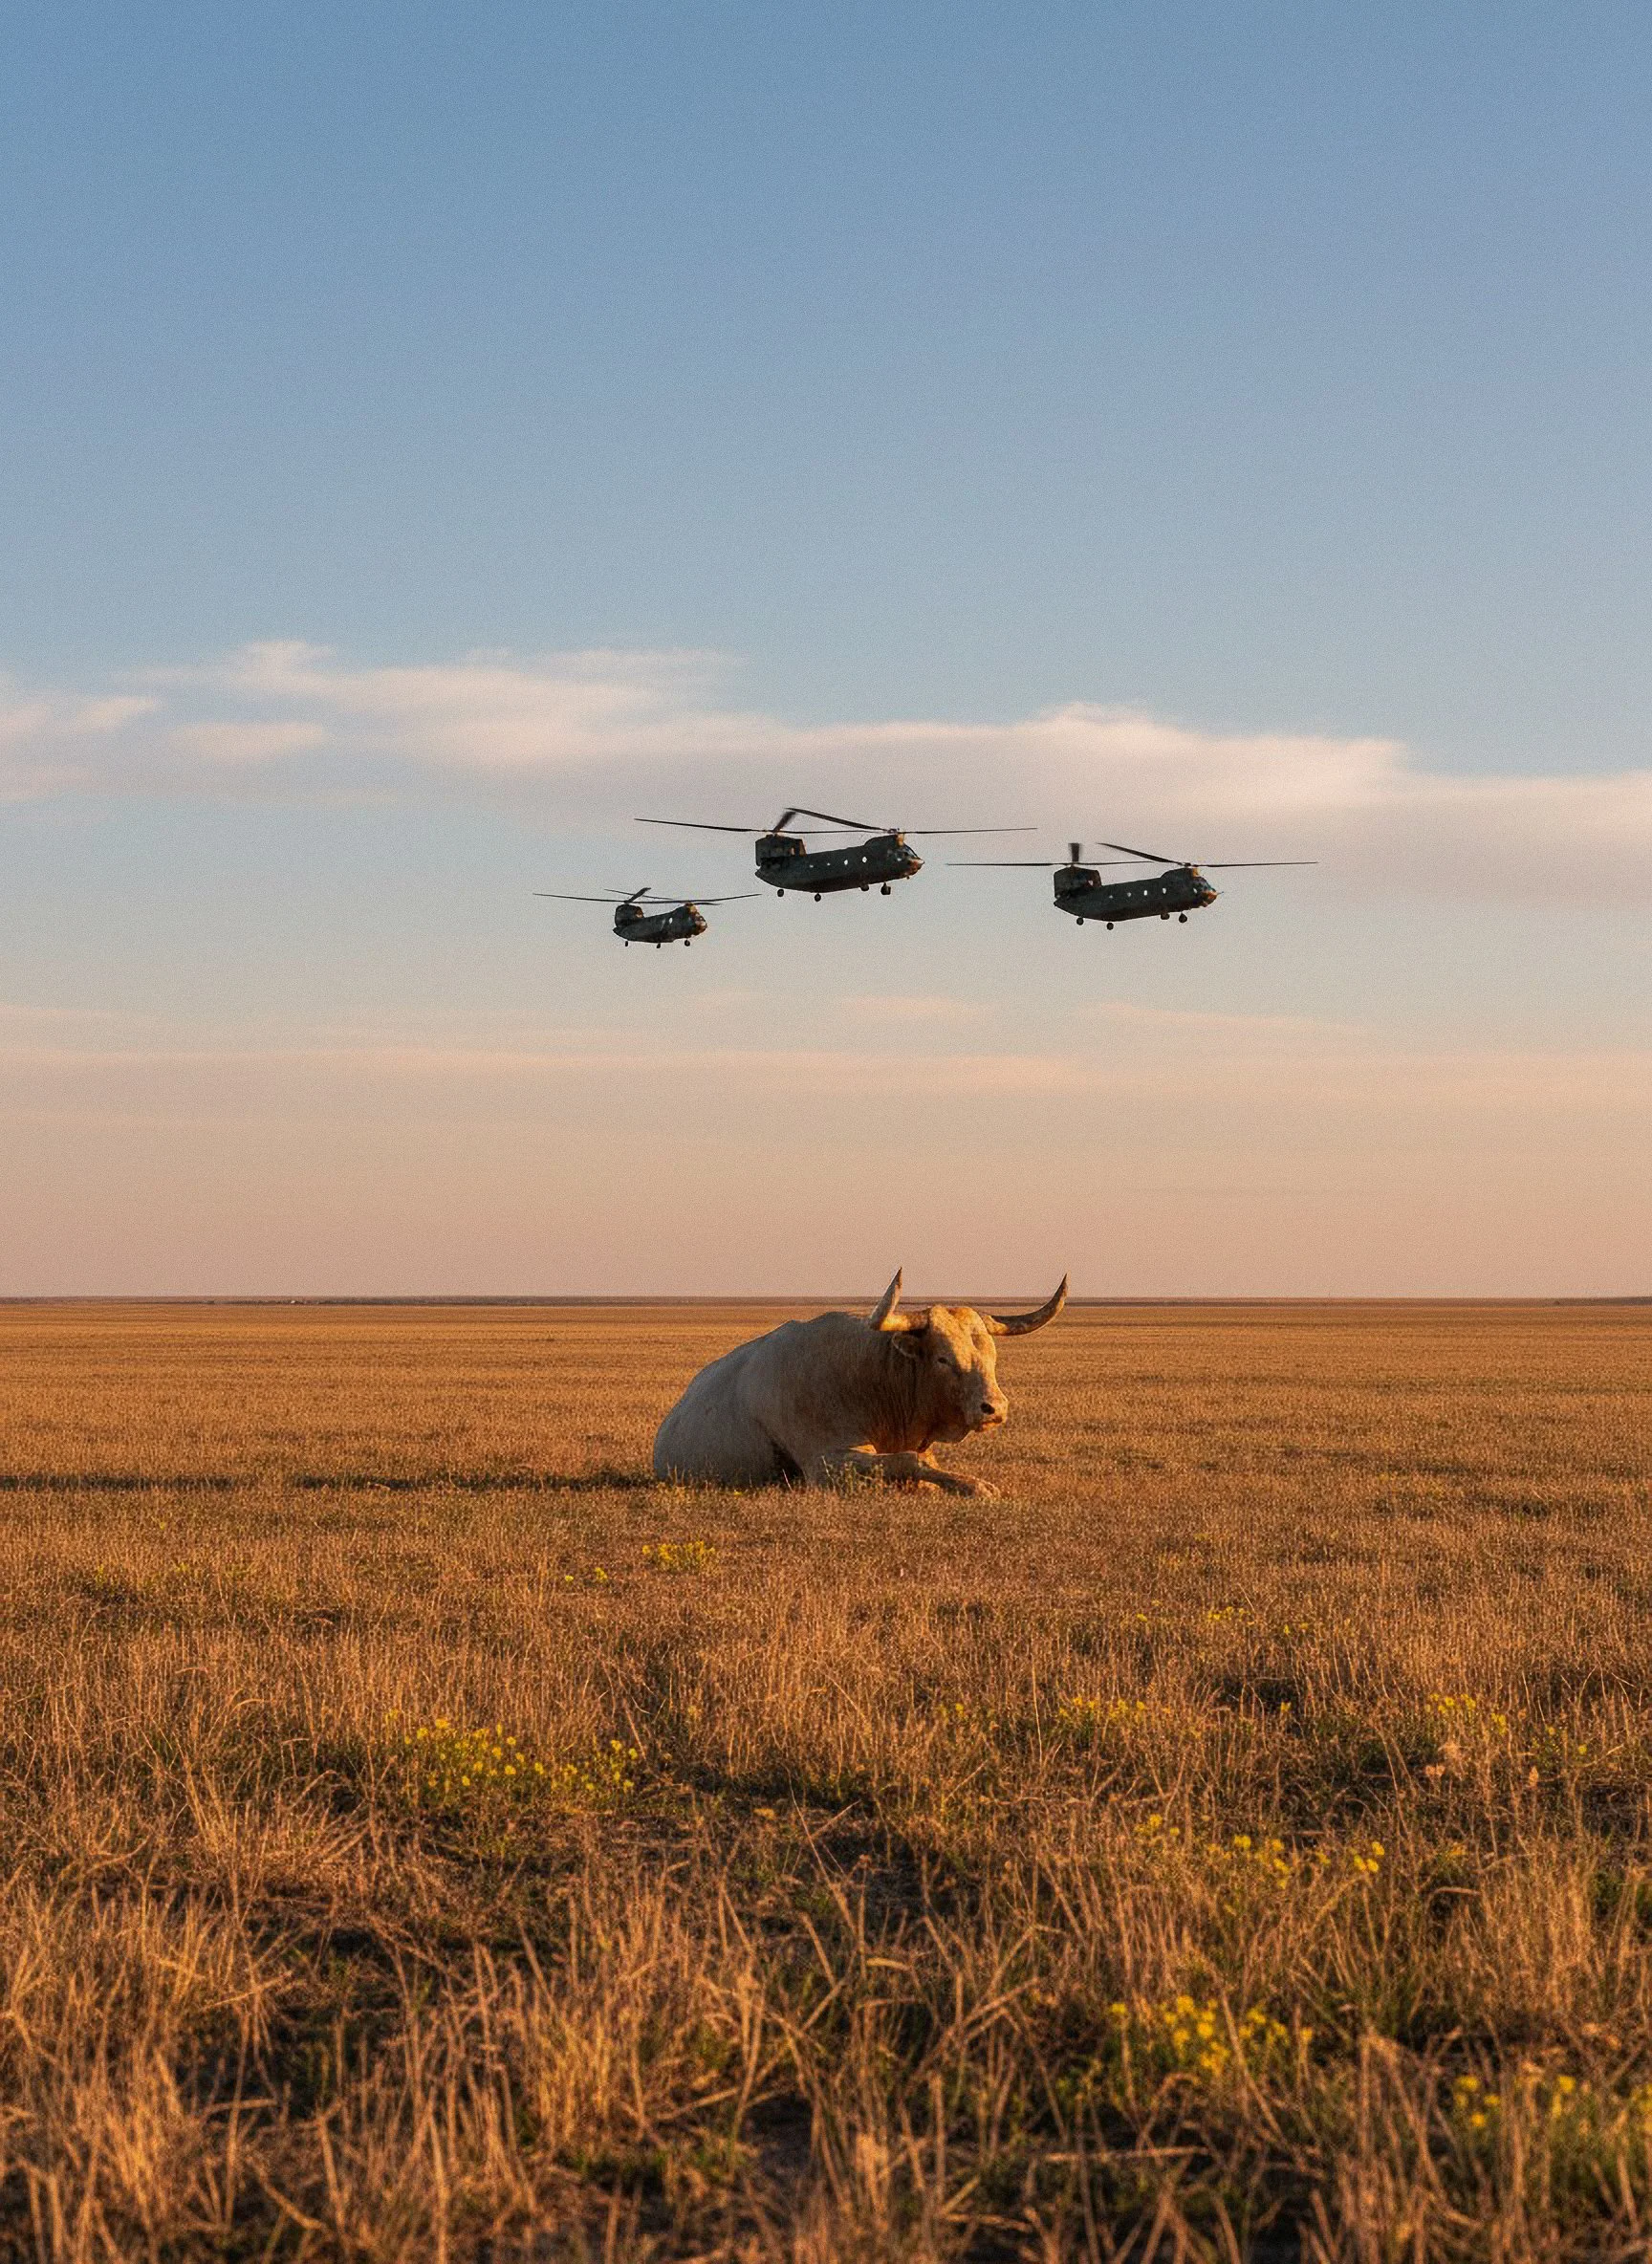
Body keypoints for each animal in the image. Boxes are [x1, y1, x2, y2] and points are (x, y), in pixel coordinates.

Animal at [652, 1269, 1068, 1496]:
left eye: (992, 1355)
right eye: (943, 1358)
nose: (994, 1408)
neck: (872, 1377)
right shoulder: (825, 1464)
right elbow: (909, 1460)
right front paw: (978, 1486)